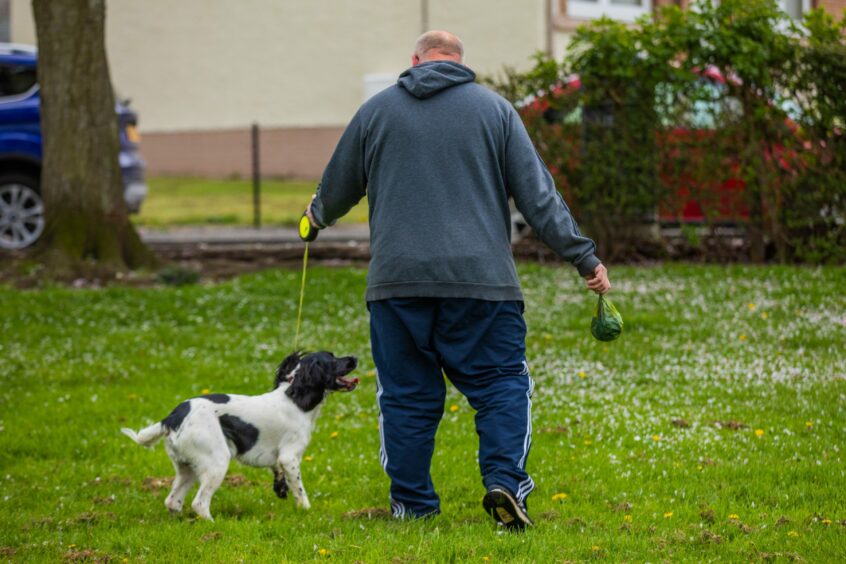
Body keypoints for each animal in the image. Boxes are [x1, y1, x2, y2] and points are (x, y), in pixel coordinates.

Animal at [120, 350, 358, 524]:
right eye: (332, 359)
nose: (354, 358)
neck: (295, 398)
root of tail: (172, 417)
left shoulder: (279, 459)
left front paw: (281, 490)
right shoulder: (290, 458)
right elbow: (300, 491)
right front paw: (306, 511)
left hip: (188, 468)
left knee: (173, 501)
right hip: (216, 462)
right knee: (199, 503)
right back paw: (214, 525)